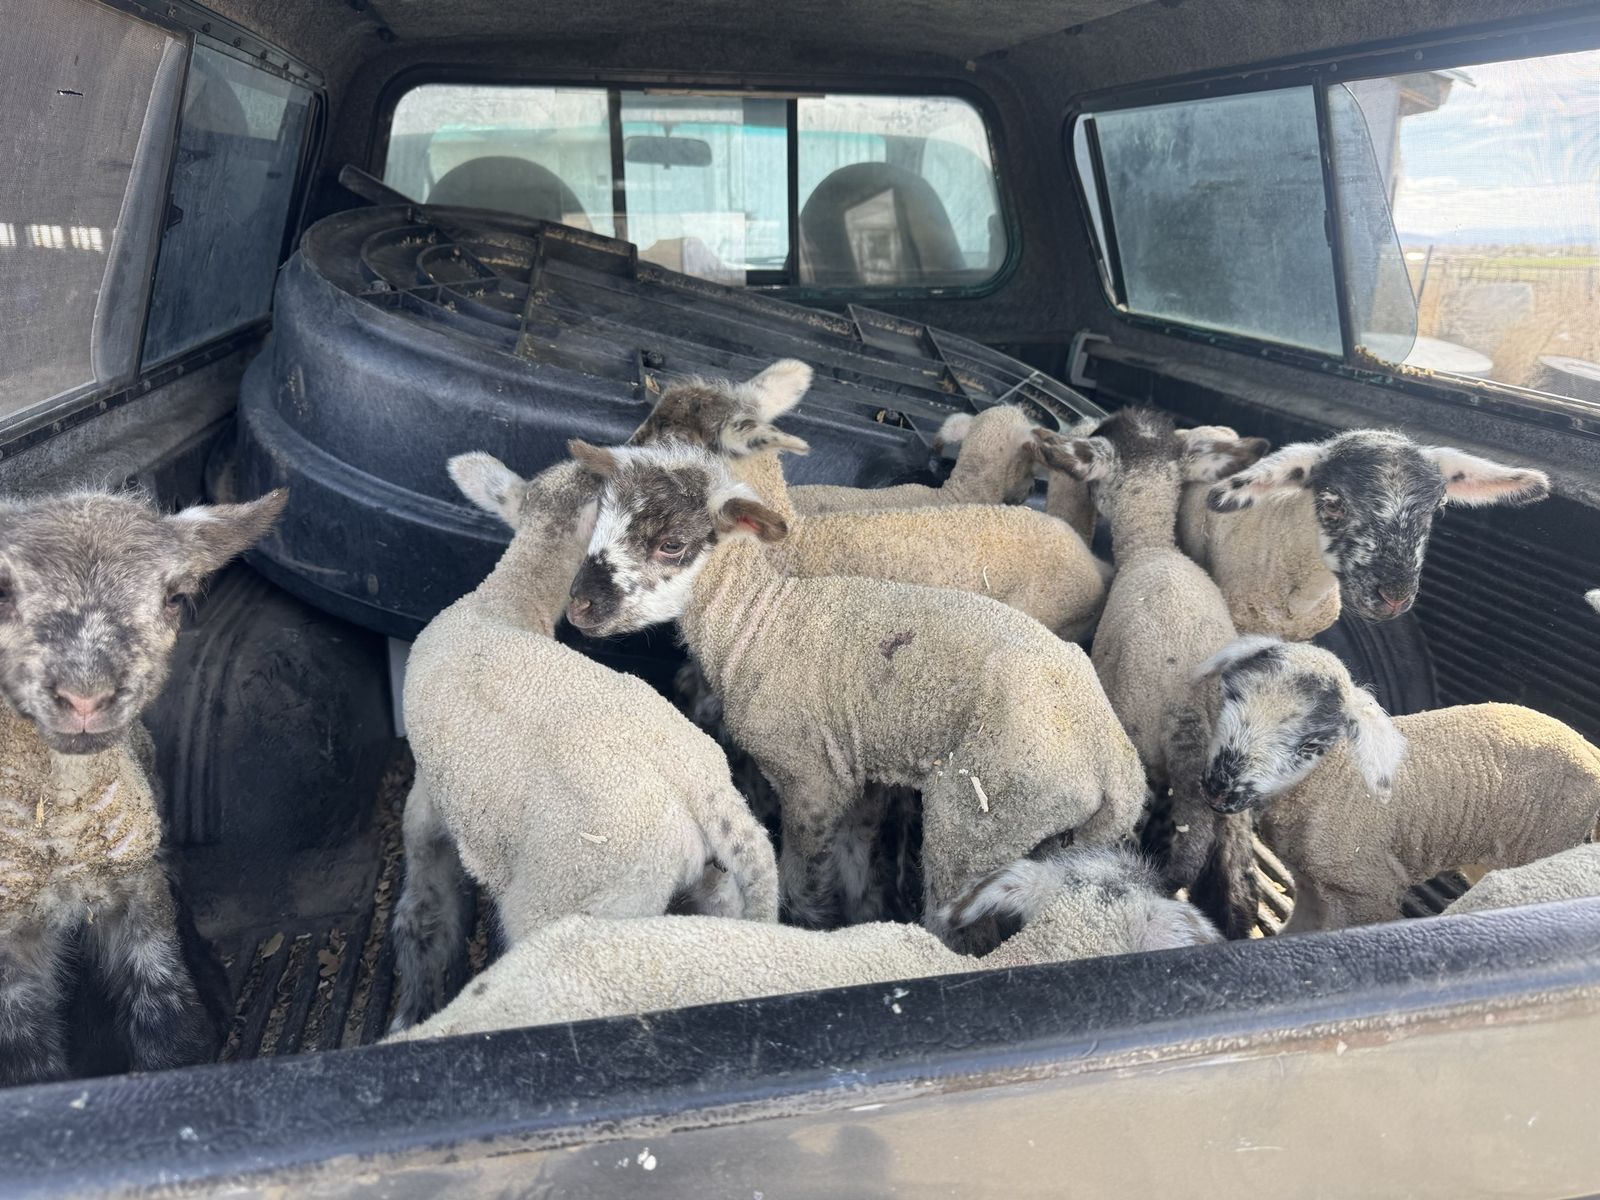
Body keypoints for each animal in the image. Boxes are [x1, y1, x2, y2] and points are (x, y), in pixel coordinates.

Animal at [0, 487, 286, 1085]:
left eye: (174, 597)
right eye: (0, 589)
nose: (85, 696)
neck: (57, 834)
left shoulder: (137, 885)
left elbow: (166, 1010)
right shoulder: (8, 937)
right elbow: (27, 1067)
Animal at [387, 455, 779, 1032]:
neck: (502, 602)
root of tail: (706, 790)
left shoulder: (428, 796)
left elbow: (424, 897)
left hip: (584, 893)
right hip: (715, 884)